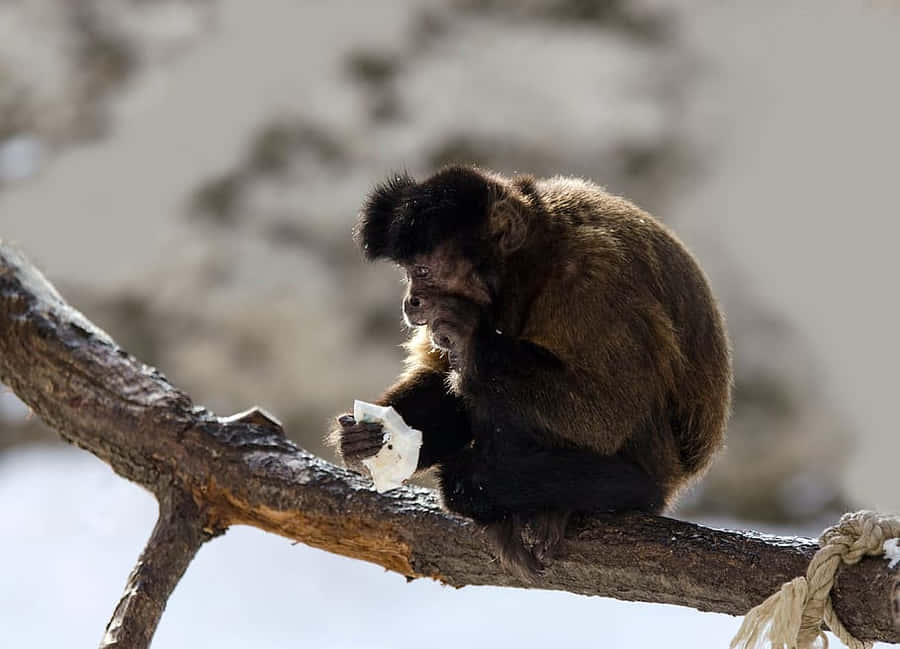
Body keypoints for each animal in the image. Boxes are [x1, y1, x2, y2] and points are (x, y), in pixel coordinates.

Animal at [328, 165, 732, 577]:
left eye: (423, 271)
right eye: (408, 273)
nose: (410, 301)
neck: (536, 261)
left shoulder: (593, 278)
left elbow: (606, 416)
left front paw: (471, 338)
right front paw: (366, 440)